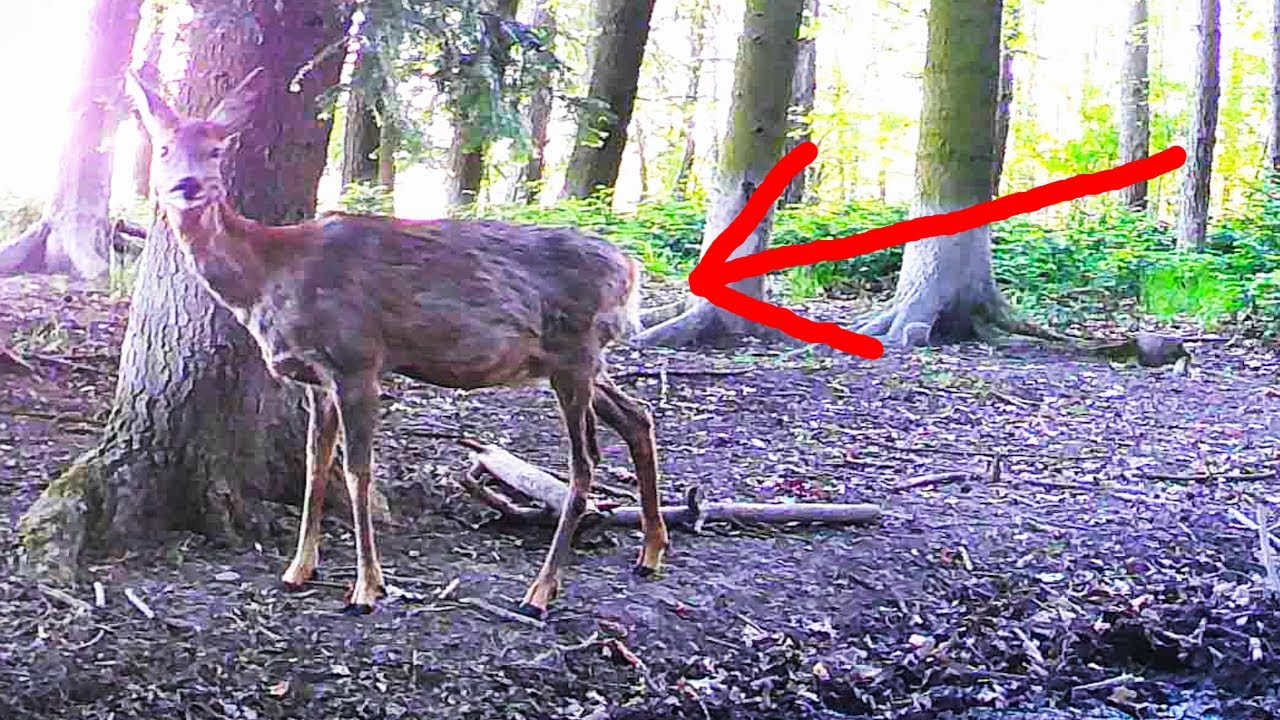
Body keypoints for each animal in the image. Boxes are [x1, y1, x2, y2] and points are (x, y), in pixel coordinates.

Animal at [125, 67, 669, 619]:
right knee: (638, 415)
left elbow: (357, 471)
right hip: (579, 360)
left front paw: (367, 587)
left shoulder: (357, 358)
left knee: (586, 462)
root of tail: (630, 270)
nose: (187, 185)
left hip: (574, 352)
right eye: (165, 147)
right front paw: (299, 569)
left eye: (215, 149)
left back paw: (541, 590)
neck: (270, 273)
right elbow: (315, 466)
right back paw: (649, 553)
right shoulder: (315, 379)